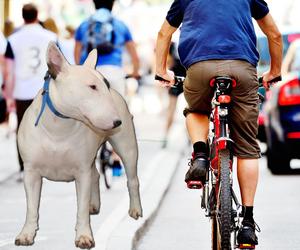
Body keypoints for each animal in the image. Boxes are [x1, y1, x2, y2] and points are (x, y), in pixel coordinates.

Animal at [15, 42, 143, 249]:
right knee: (96, 174)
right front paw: (26, 234)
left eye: (106, 85)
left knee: (132, 179)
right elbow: (32, 207)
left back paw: (135, 209)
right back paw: (95, 204)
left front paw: (84, 237)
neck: (59, 125)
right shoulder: (31, 172)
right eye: (92, 86)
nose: (117, 122)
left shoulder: (81, 171)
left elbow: (81, 207)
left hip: (127, 146)